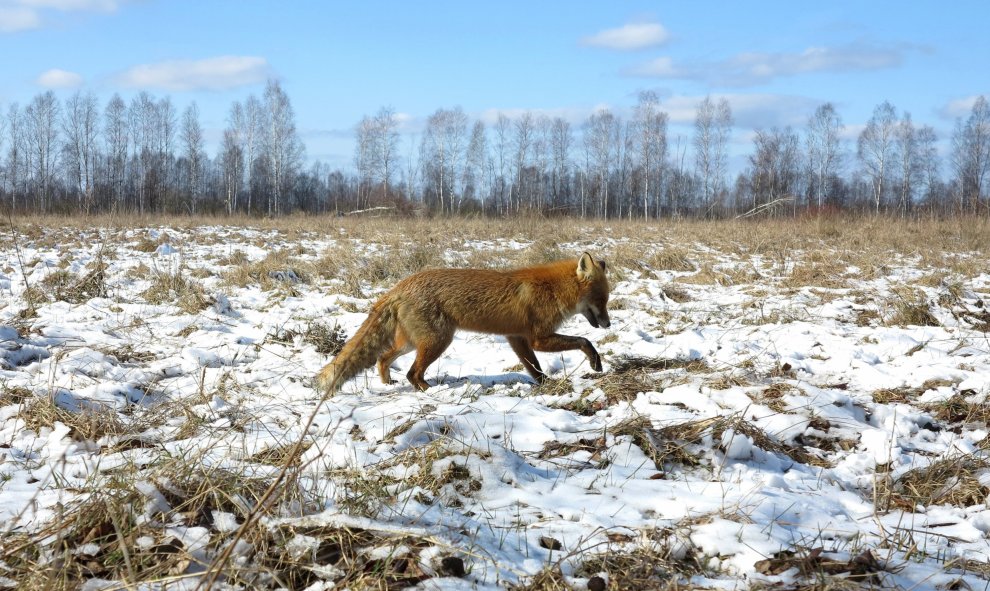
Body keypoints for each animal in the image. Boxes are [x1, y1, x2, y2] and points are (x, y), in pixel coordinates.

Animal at [318, 251, 612, 394]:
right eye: (601, 300)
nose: (609, 325)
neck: (553, 289)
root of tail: (399, 287)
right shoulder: (538, 337)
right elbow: (584, 341)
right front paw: (595, 362)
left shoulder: (516, 338)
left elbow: (534, 367)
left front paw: (544, 384)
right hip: (437, 341)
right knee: (413, 373)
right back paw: (432, 392)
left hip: (412, 342)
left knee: (383, 358)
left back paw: (387, 382)